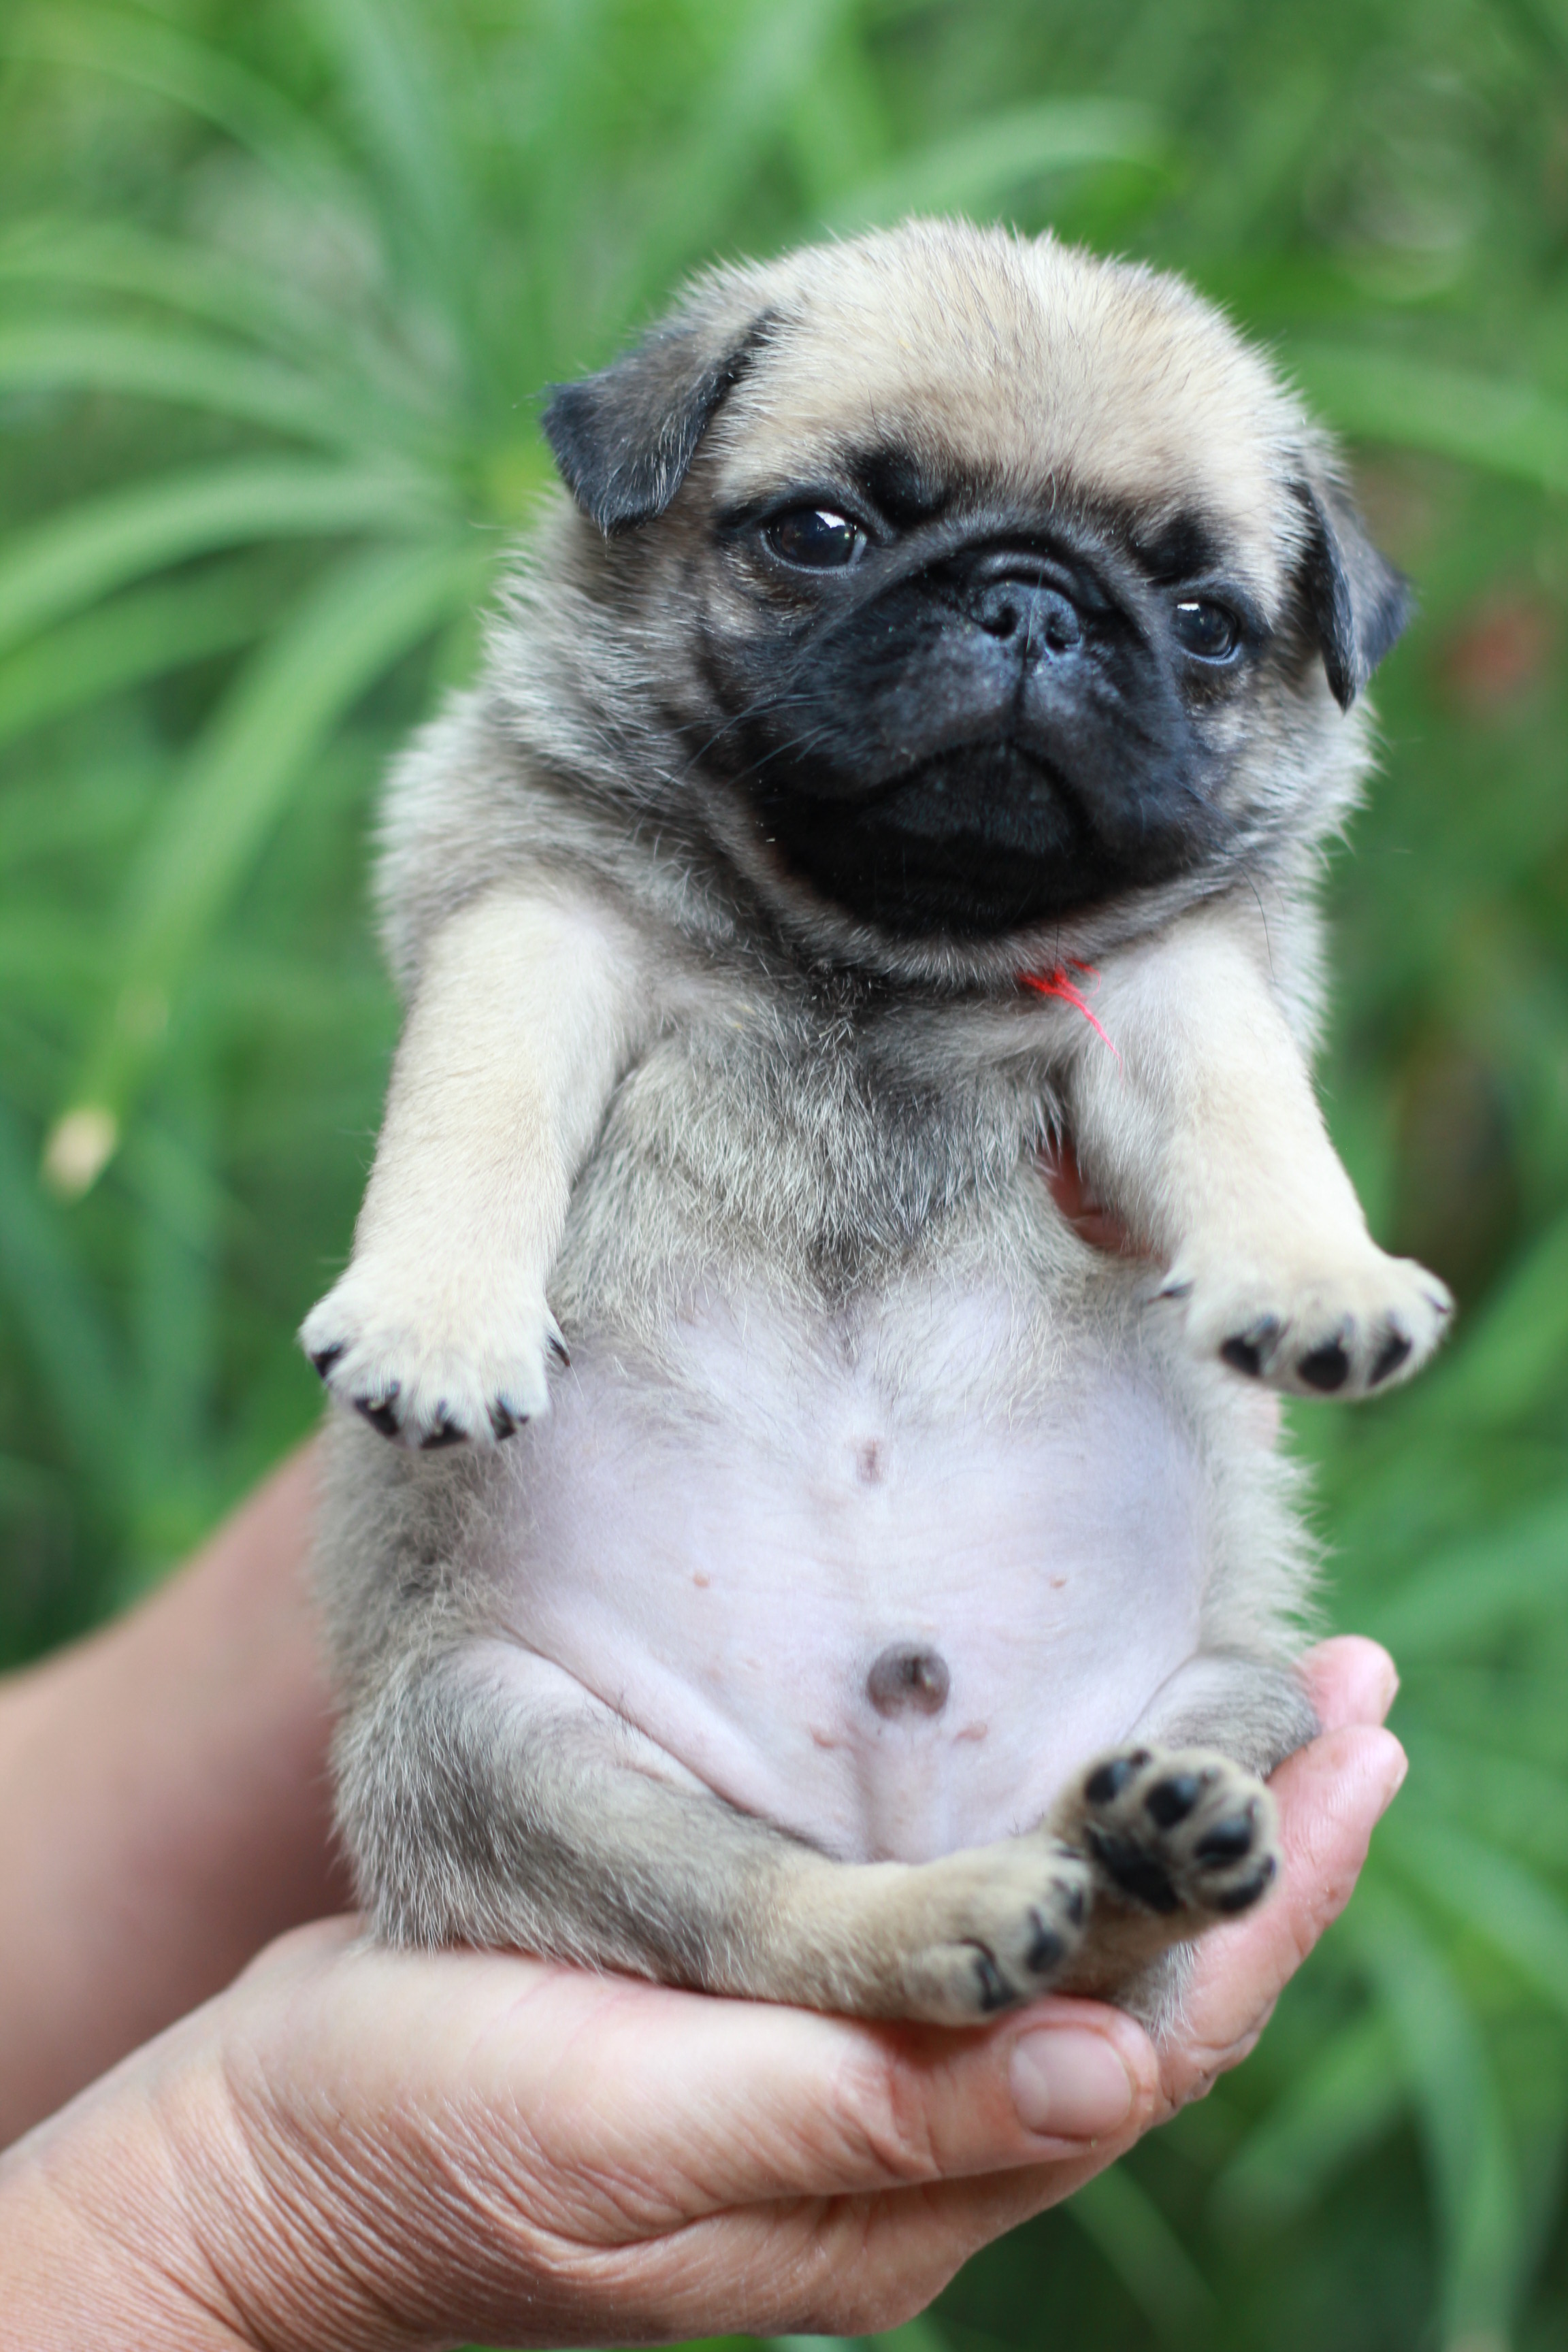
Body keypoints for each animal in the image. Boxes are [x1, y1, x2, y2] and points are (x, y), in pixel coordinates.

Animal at [302, 220, 1449, 2026]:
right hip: (496, 1740)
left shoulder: (1173, 983)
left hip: (1241, 1695)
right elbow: (475, 1112)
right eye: (823, 532)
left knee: (1105, 1913)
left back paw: (1150, 1848)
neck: (876, 948)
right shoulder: (538, 918)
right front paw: (436, 1318)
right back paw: (957, 1915)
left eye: (1204, 622)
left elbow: (1247, 1112)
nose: (1035, 603)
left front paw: (1318, 1276)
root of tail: (905, 1816)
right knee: (770, 1919)